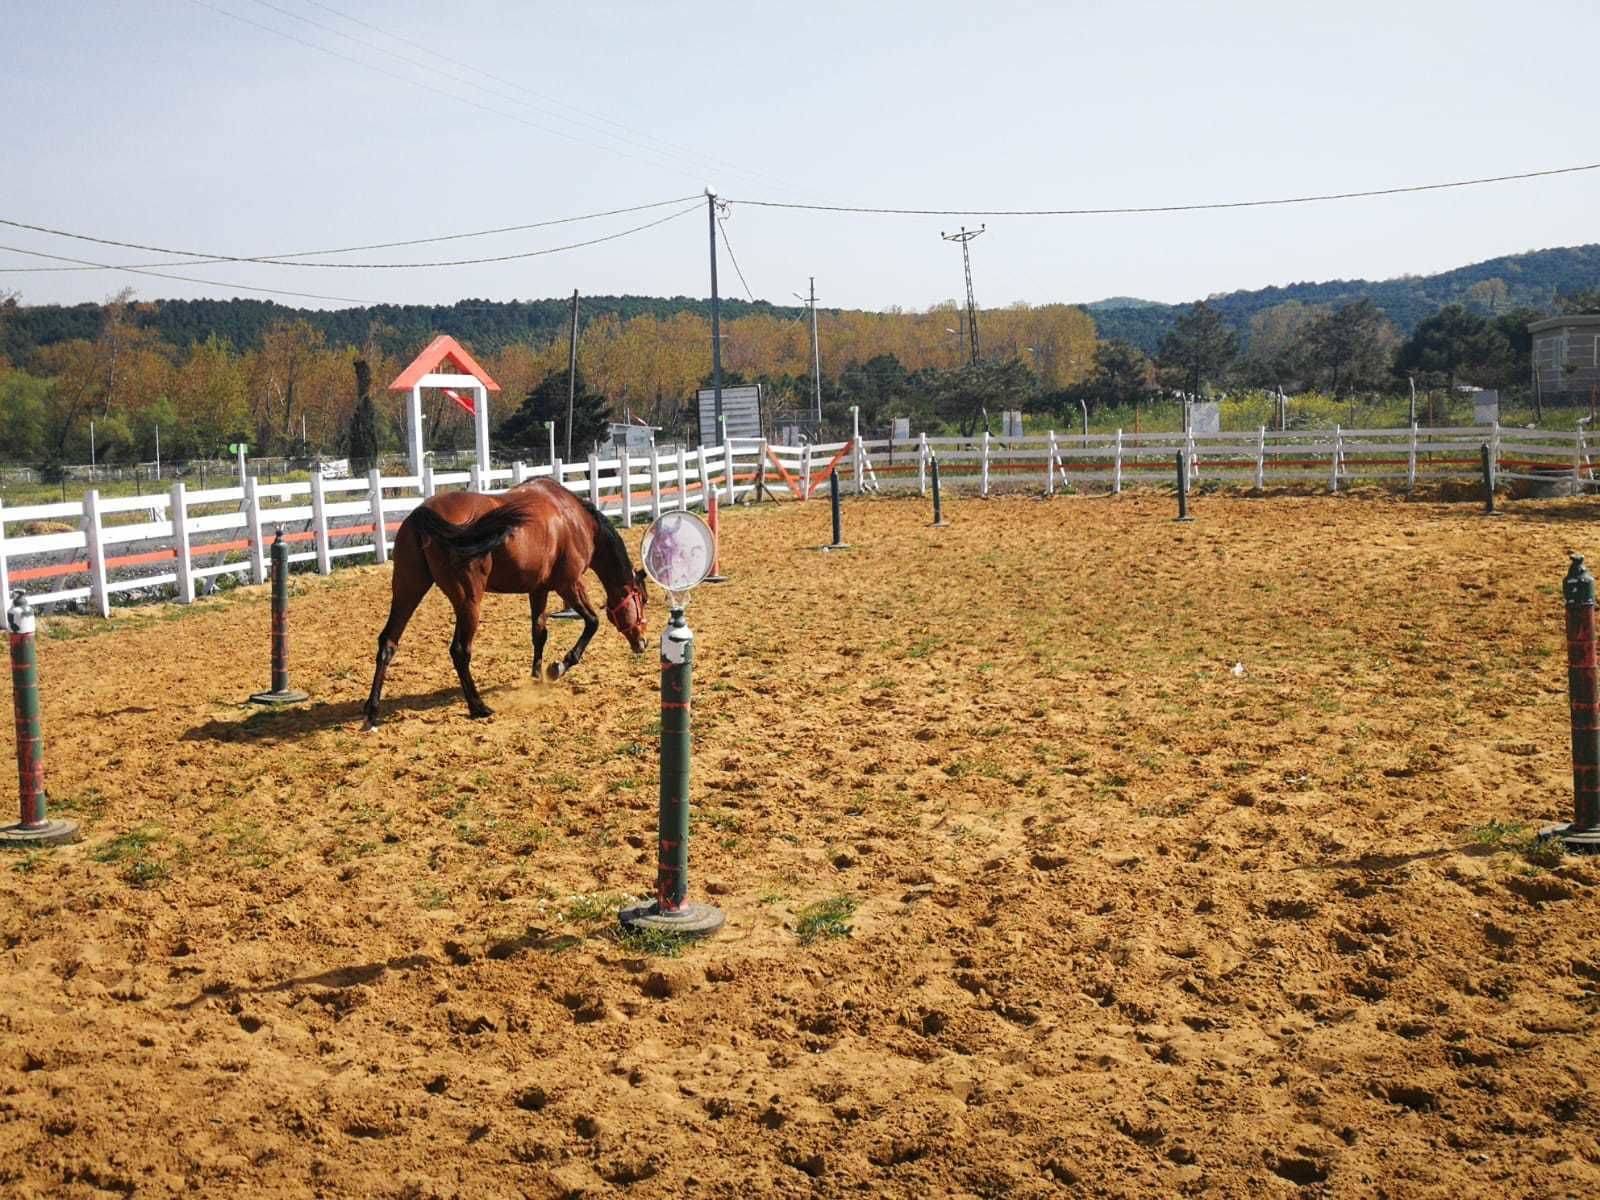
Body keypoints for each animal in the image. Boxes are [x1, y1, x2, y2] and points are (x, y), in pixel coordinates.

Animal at [361, 477, 648, 730]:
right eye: (643, 599)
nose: (642, 643)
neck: (574, 520)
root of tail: (421, 515)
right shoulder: (569, 585)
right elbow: (592, 622)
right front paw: (559, 666)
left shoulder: (539, 589)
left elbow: (539, 632)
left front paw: (536, 676)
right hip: (468, 601)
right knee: (460, 651)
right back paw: (478, 707)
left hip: (408, 590)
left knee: (388, 642)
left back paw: (372, 711)